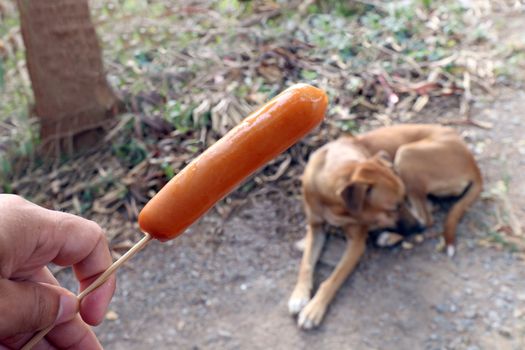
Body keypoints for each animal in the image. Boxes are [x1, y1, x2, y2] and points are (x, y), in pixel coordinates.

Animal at [288, 124, 482, 330]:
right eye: (393, 208)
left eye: (400, 201)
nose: (417, 229)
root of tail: (473, 163)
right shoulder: (315, 228)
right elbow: (306, 263)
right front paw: (299, 295)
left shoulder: (356, 243)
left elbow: (334, 278)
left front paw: (314, 309)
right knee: (429, 209)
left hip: (406, 154)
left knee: (426, 217)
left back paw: (390, 236)